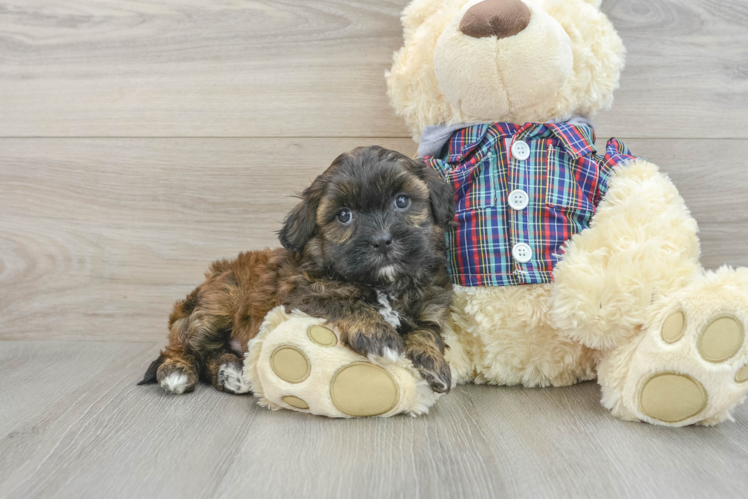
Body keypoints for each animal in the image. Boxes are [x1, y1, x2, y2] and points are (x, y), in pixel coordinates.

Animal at [140, 145, 456, 394]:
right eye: (344, 216)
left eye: (402, 201)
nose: (381, 240)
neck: (382, 283)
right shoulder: (301, 296)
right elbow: (347, 303)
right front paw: (379, 335)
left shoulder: (429, 307)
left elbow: (428, 331)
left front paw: (433, 362)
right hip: (217, 307)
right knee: (184, 346)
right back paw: (177, 372)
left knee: (210, 353)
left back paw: (230, 372)